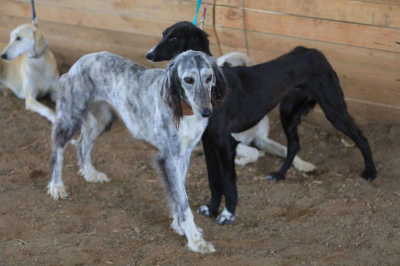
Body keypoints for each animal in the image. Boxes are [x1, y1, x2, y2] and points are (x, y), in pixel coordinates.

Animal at [48, 50, 227, 254]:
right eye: (188, 79)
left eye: (209, 77)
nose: (206, 112)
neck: (183, 109)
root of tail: (81, 61)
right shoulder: (169, 157)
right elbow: (182, 202)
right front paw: (196, 240)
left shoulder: (184, 154)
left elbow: (177, 193)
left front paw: (179, 226)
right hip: (71, 117)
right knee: (58, 149)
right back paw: (56, 186)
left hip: (103, 117)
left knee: (82, 145)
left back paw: (91, 174)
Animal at [145, 21, 376, 224]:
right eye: (164, 34)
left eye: (173, 38)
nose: (149, 54)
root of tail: (313, 51)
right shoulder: (209, 142)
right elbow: (214, 181)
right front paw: (211, 209)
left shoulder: (226, 143)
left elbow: (228, 183)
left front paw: (228, 214)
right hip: (287, 112)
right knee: (294, 145)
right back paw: (280, 174)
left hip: (333, 110)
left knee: (361, 137)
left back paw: (370, 172)